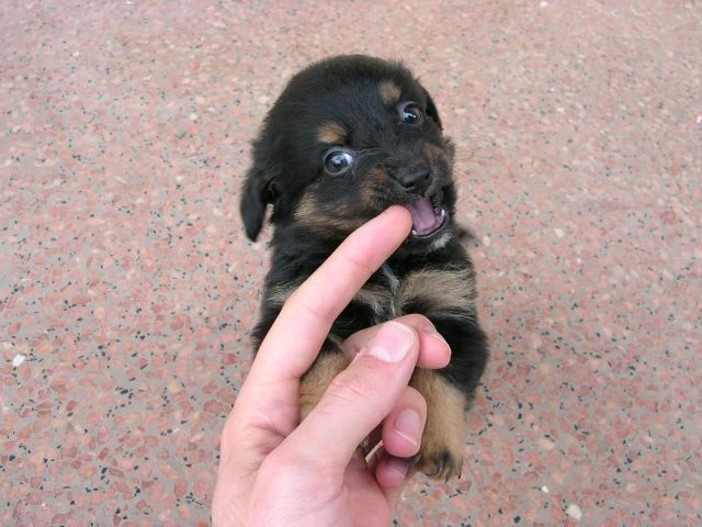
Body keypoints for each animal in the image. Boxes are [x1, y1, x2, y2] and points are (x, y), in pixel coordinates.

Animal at [242, 54, 490, 482]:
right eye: (336, 161)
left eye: (411, 113)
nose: (417, 175)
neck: (391, 263)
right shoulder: (290, 316)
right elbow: (324, 362)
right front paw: (322, 429)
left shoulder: (450, 311)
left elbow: (443, 377)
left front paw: (438, 447)